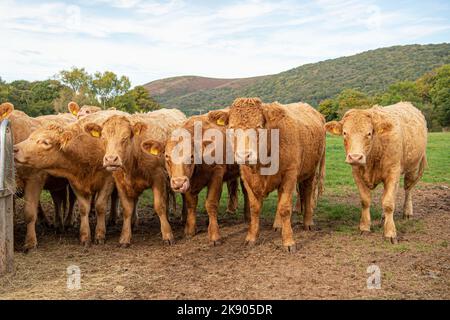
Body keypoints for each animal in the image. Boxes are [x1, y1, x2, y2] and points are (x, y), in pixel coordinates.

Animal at [13, 110, 125, 248]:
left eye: (45, 142)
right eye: (30, 137)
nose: (14, 149)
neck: (87, 149)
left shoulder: (108, 181)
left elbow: (100, 206)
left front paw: (100, 234)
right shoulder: (75, 183)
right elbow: (83, 208)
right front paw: (85, 236)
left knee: (114, 197)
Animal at [82, 109, 185, 246]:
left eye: (125, 138)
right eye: (103, 138)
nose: (111, 159)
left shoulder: (158, 177)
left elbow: (159, 206)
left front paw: (167, 235)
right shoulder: (120, 182)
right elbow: (127, 209)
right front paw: (125, 237)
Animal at [142, 113, 250, 245]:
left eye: (191, 156)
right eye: (166, 156)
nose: (178, 183)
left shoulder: (217, 174)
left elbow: (211, 203)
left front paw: (214, 235)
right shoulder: (189, 182)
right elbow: (191, 204)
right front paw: (190, 229)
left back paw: (247, 216)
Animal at [209, 98, 326, 252]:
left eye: (259, 127)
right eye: (232, 127)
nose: (244, 155)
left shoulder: (290, 175)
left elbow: (285, 208)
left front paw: (288, 241)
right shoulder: (247, 178)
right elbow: (255, 208)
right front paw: (251, 237)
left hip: (310, 171)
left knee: (307, 193)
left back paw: (308, 222)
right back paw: (278, 225)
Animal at [326, 102, 428, 242]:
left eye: (369, 133)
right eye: (345, 133)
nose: (355, 157)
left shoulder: (393, 172)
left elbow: (389, 203)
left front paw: (390, 233)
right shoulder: (357, 173)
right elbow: (365, 201)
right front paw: (364, 227)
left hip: (412, 167)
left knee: (408, 188)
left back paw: (407, 212)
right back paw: (384, 217)